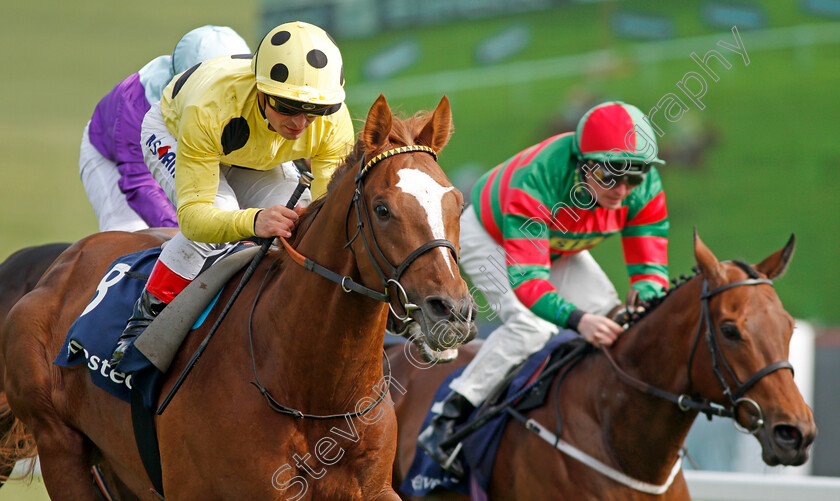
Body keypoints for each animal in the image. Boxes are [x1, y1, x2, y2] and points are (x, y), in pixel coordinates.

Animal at [0, 94, 472, 500]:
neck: (310, 391)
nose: (452, 310)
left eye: (457, 203)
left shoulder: (372, 488)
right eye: (382, 209)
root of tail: (59, 267)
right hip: (60, 445)